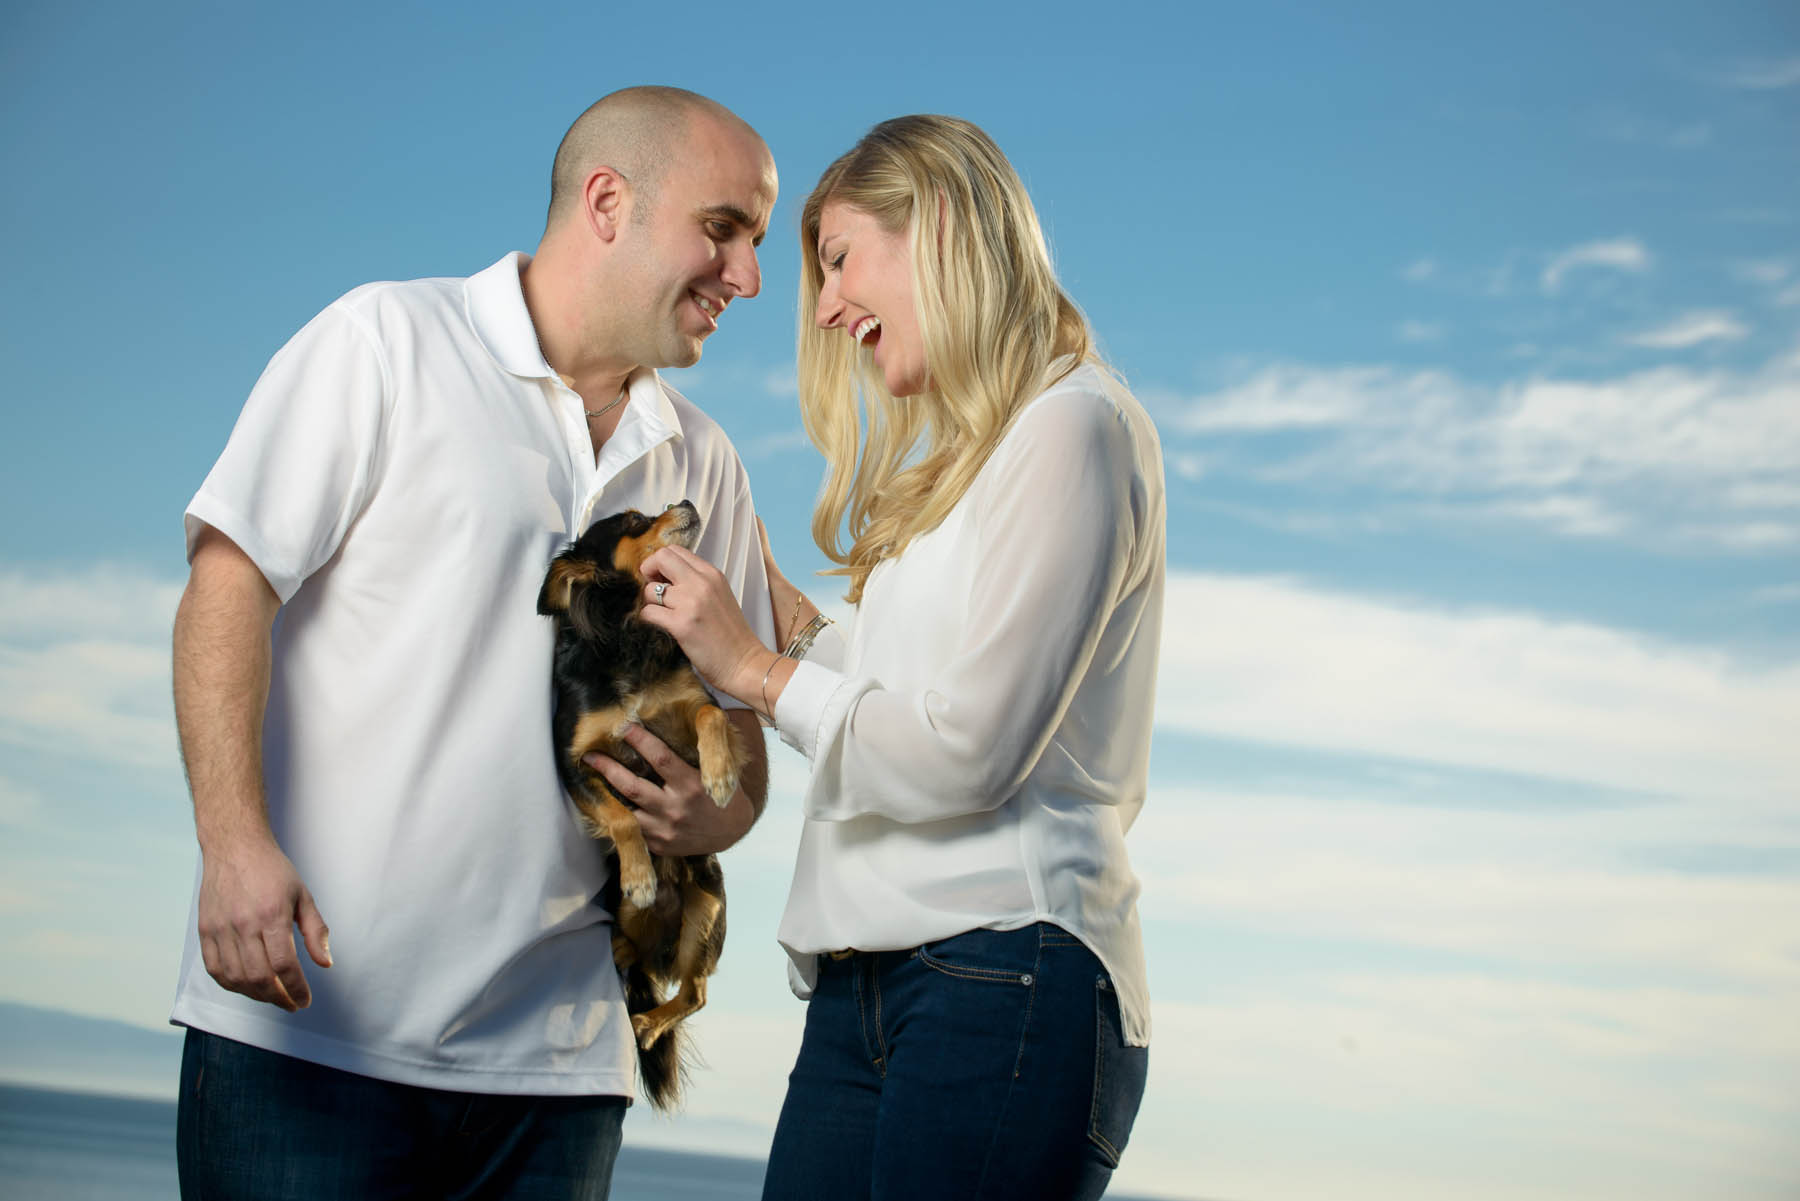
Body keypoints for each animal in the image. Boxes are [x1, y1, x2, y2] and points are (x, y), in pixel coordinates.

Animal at [536, 496, 756, 1109]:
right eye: (635, 521)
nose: (684, 502)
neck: (632, 632)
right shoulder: (577, 760)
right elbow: (619, 817)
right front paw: (637, 874)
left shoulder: (693, 710)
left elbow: (708, 716)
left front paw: (720, 776)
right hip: (630, 926)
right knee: (639, 966)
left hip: (707, 913)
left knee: (695, 993)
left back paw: (649, 1024)